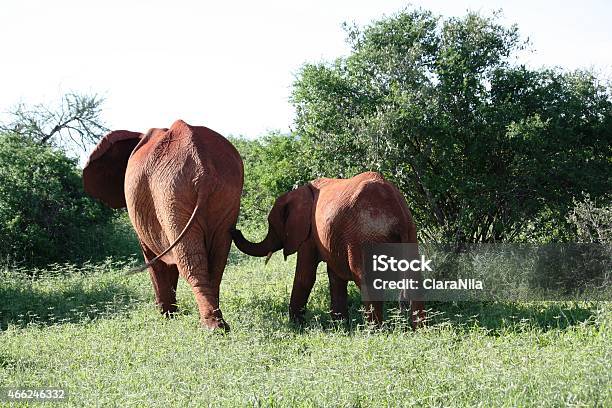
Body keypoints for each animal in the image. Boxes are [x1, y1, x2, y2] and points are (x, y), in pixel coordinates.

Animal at [82, 119, 244, 330]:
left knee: (190, 262)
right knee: (216, 261)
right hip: (224, 192)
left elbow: (155, 259)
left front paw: (167, 315)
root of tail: (204, 171)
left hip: (170, 192)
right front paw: (171, 314)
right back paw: (219, 323)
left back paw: (211, 327)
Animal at [231, 171, 426, 326]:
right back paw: (419, 330)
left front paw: (296, 325)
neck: (299, 191)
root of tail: (394, 209)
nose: (235, 230)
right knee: (414, 277)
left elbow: (305, 276)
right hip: (410, 231)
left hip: (365, 236)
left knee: (365, 279)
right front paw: (340, 326)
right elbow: (335, 276)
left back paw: (375, 332)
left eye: (272, 225)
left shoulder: (310, 233)